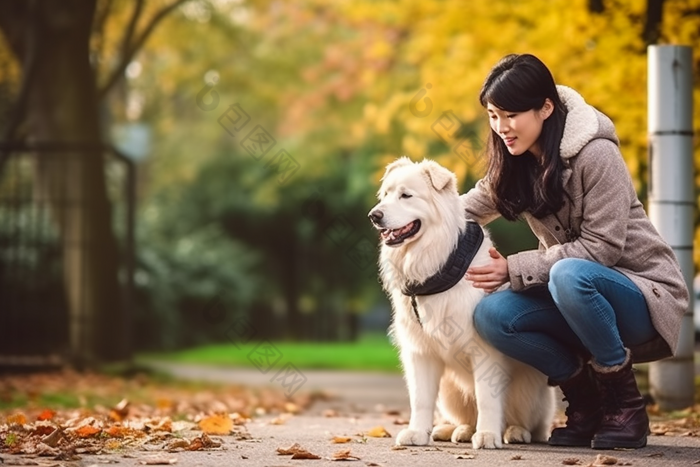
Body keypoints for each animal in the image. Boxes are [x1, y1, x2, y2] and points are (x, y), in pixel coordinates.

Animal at [370, 159, 556, 452]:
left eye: (406, 195)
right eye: (385, 195)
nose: (374, 215)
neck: (439, 265)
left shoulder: (486, 351)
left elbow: (487, 397)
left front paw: (488, 435)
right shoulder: (421, 352)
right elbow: (420, 399)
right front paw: (417, 433)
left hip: (528, 388)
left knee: (528, 421)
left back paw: (513, 431)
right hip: (450, 392)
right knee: (465, 414)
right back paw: (459, 430)